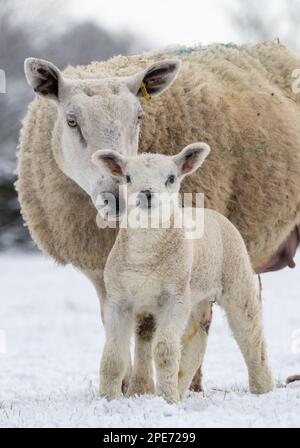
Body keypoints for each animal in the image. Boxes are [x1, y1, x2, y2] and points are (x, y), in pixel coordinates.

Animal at [92, 143, 274, 402]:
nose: (147, 194)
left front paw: (167, 401)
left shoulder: (174, 298)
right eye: (127, 177)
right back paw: (180, 389)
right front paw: (108, 399)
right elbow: (113, 356)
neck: (145, 254)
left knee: (250, 334)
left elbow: (164, 351)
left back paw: (262, 389)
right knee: (195, 343)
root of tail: (210, 211)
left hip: (237, 278)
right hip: (196, 297)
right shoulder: (119, 300)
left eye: (171, 178)